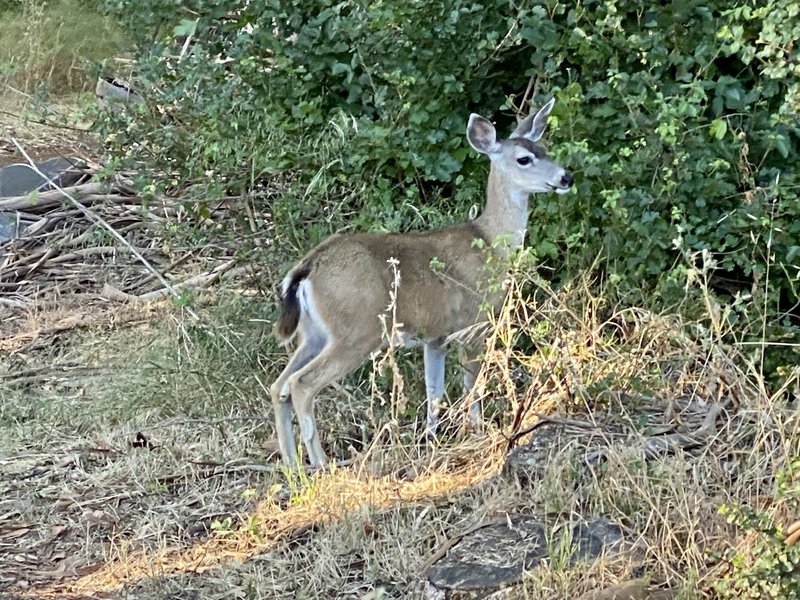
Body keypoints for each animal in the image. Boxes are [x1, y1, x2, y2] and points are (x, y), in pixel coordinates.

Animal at [272, 98, 572, 466]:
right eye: (524, 159)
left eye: (545, 149)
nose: (566, 177)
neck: (490, 241)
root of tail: (308, 268)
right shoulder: (475, 322)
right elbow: (472, 384)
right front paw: (477, 432)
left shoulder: (436, 335)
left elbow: (434, 391)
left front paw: (431, 439)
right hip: (357, 331)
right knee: (301, 384)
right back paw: (320, 464)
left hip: (313, 333)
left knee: (279, 386)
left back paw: (291, 466)